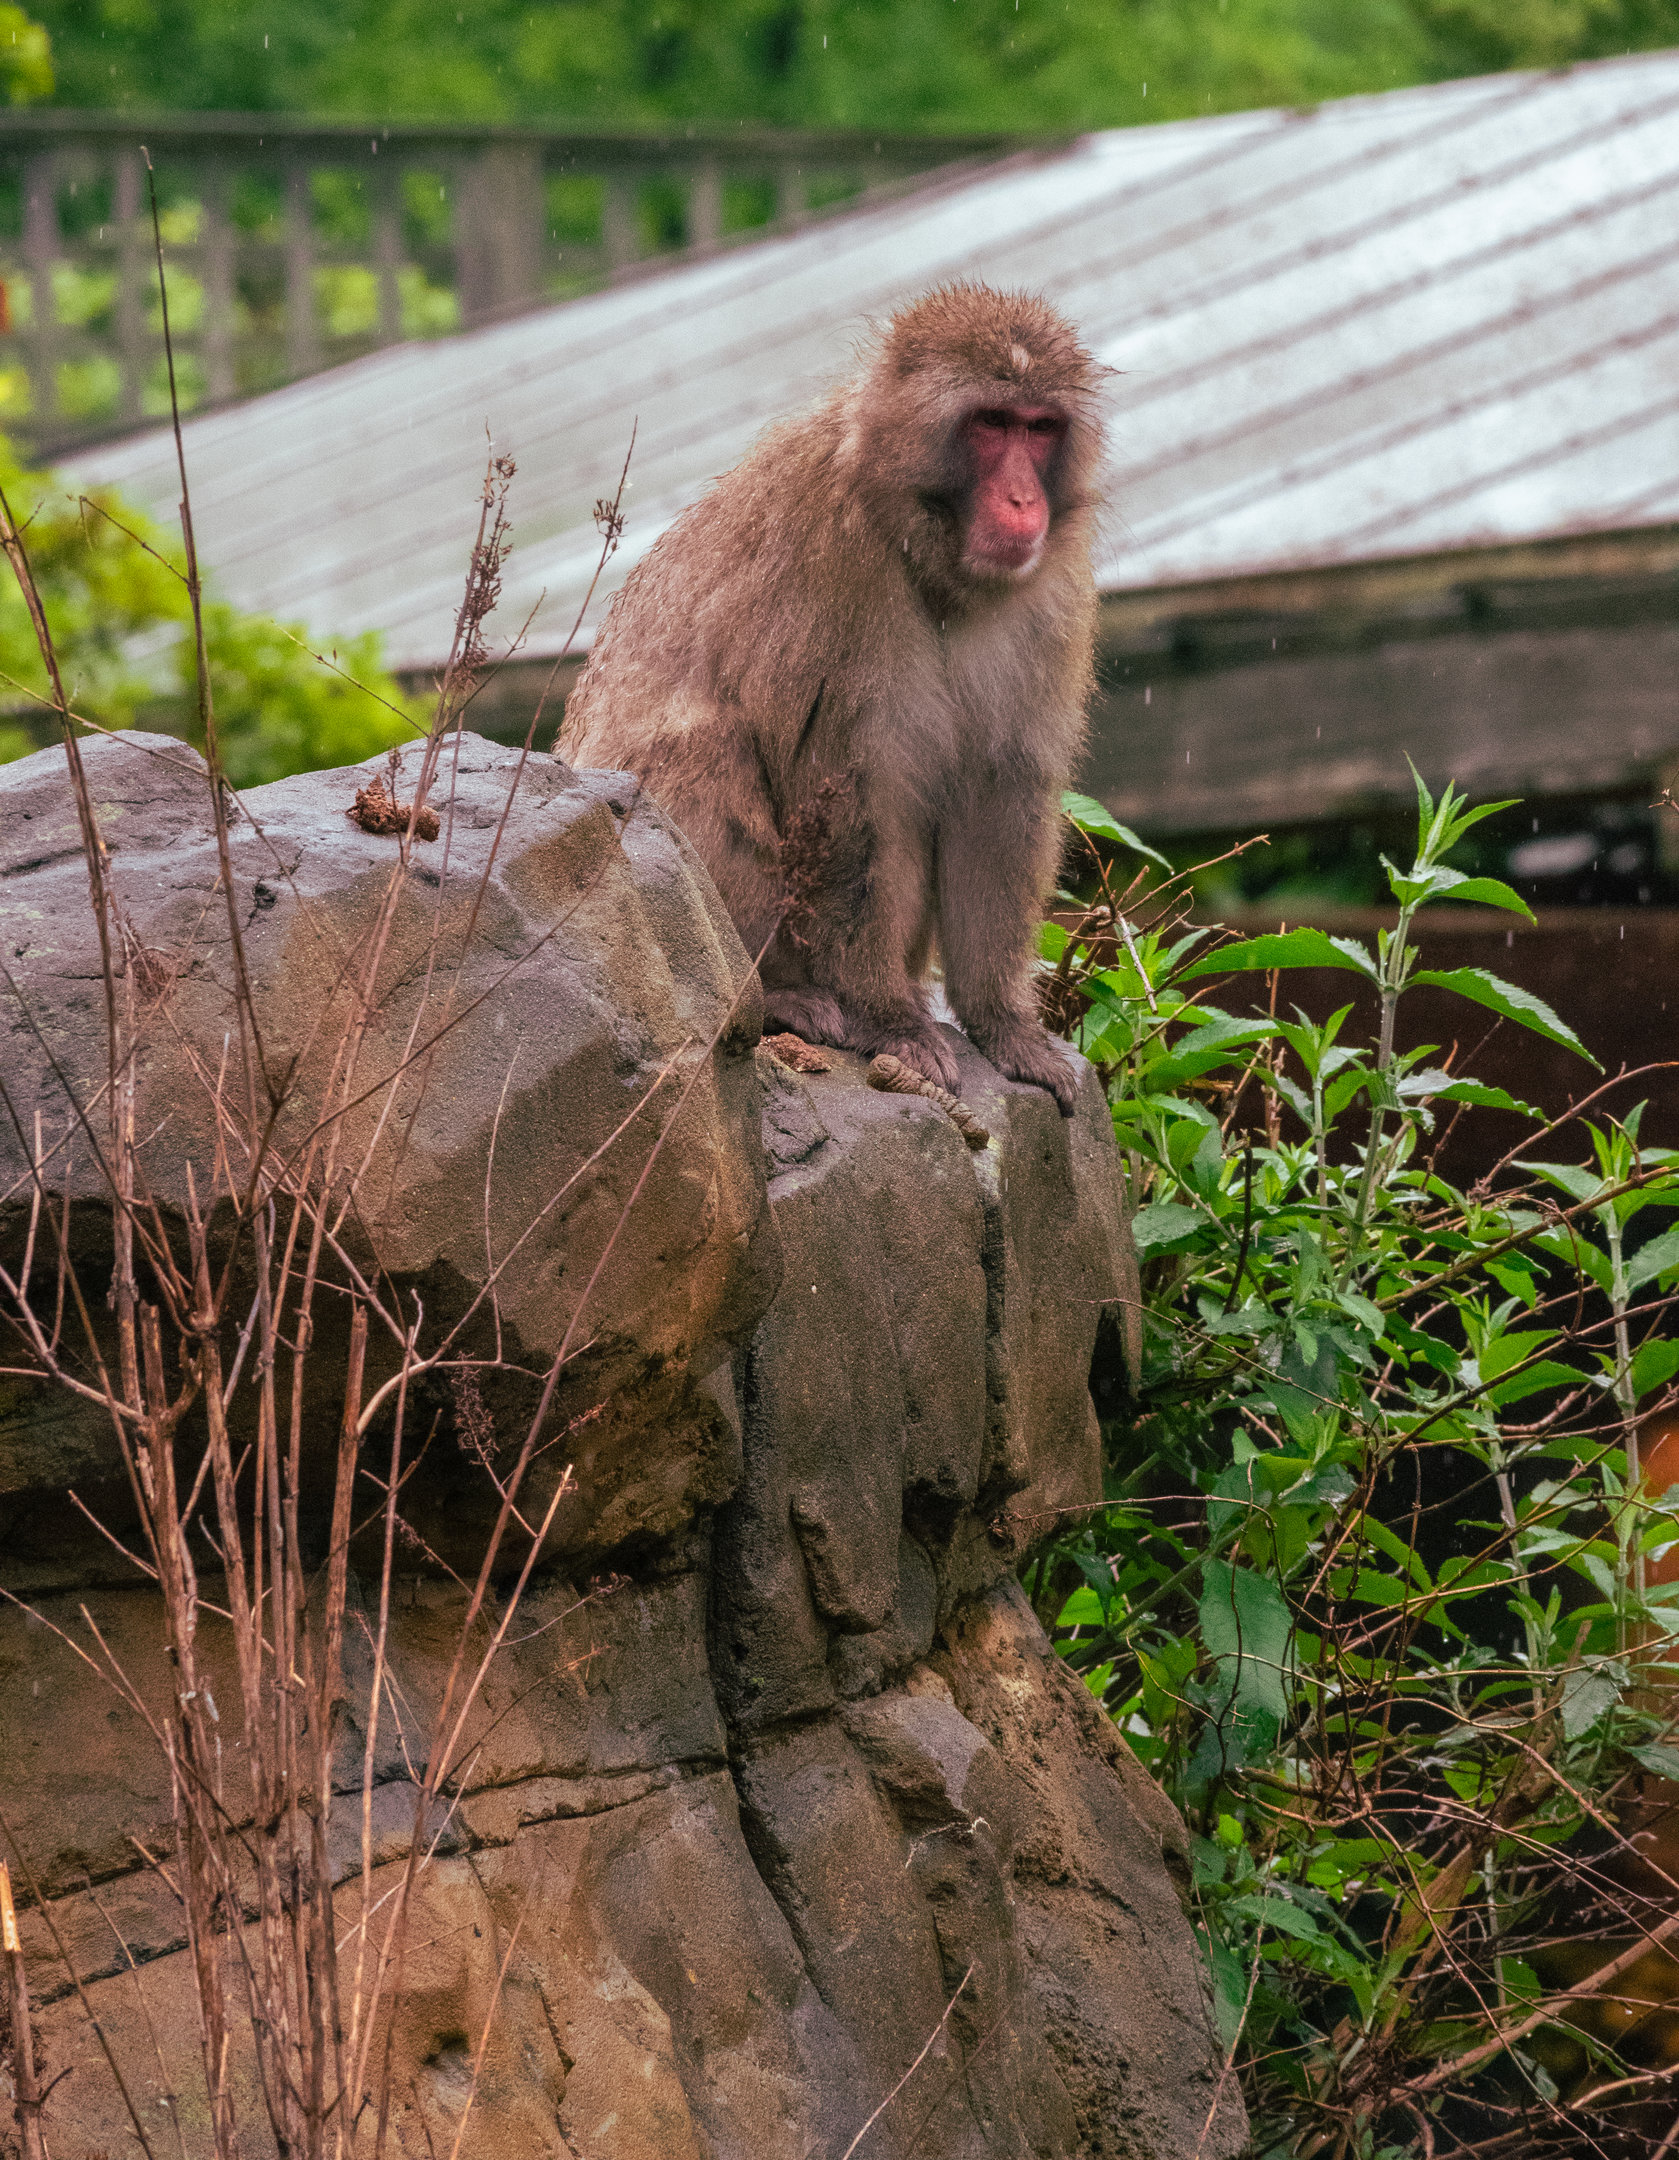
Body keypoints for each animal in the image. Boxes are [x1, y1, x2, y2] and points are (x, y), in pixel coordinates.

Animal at [560, 282, 1103, 1116]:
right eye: (990, 424)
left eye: (1039, 429)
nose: (1021, 501)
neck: (923, 551)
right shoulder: (828, 561)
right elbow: (844, 797)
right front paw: (887, 1019)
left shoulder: (1050, 597)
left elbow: (997, 790)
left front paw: (1002, 1026)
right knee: (701, 751)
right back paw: (781, 997)